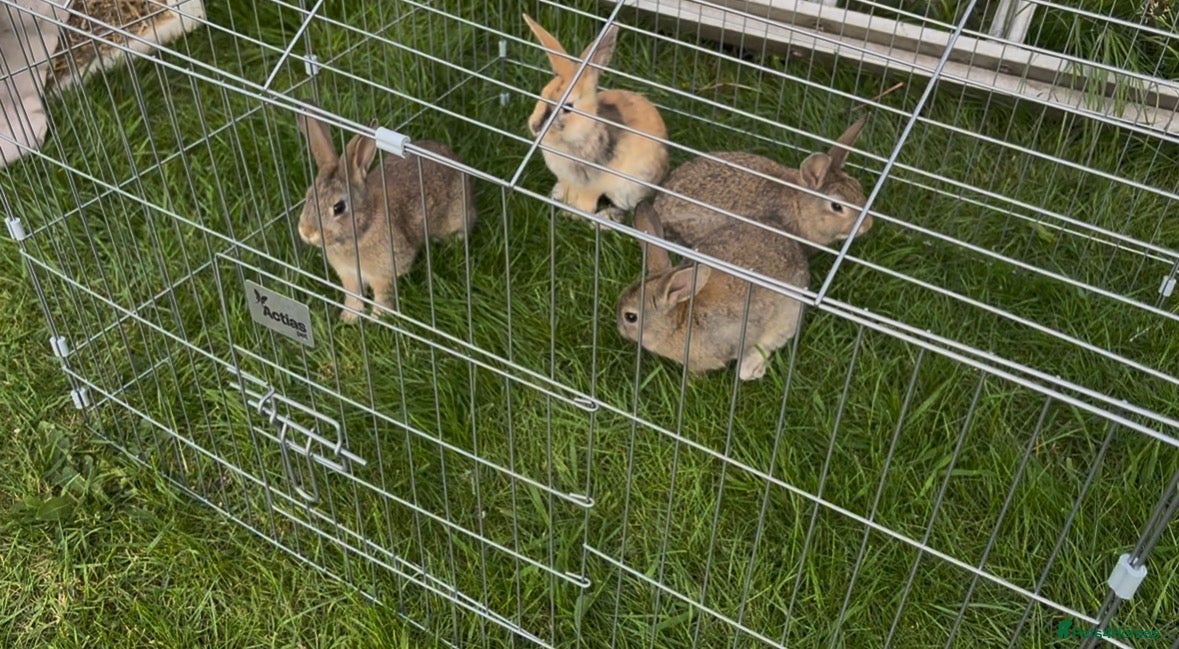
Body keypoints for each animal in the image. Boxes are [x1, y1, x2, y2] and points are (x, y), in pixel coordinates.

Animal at [296, 108, 476, 323]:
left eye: (338, 207)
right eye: (308, 195)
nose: (306, 231)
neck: (363, 229)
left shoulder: (384, 273)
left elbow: (382, 295)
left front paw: (378, 318)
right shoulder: (349, 275)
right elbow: (353, 295)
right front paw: (349, 318)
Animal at [523, 14, 669, 222]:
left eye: (568, 107)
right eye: (542, 93)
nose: (535, 126)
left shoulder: (595, 184)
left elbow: (586, 202)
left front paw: (572, 215)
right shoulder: (567, 178)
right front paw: (561, 199)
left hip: (631, 187)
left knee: (630, 208)